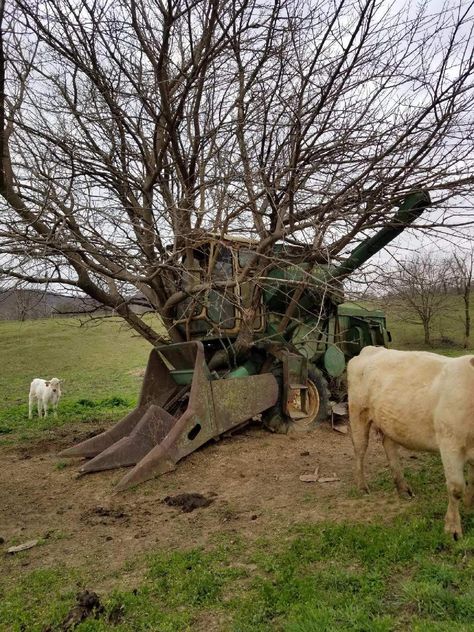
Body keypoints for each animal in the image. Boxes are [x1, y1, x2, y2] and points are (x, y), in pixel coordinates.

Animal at [346, 346, 474, 540]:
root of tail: (372, 349)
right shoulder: (449, 443)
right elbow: (456, 487)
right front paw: (452, 528)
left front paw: (470, 506)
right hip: (358, 413)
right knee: (360, 449)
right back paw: (362, 486)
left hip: (388, 420)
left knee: (389, 446)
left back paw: (403, 488)